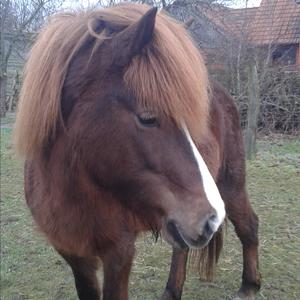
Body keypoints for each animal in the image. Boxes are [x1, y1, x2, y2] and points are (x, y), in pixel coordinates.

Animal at [13, 2, 260, 300]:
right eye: (148, 118)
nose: (210, 218)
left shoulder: (119, 252)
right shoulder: (75, 254)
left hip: (230, 186)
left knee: (249, 225)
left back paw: (249, 286)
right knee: (181, 249)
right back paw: (172, 291)